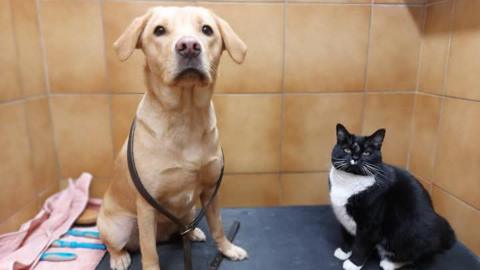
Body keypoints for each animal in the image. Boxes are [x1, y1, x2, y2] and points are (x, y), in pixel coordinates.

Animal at [97, 5, 248, 270]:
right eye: (159, 30)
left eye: (206, 29)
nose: (189, 46)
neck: (185, 115)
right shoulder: (147, 205)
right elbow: (149, 252)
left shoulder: (211, 191)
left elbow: (218, 226)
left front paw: (227, 249)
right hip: (118, 227)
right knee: (115, 244)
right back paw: (119, 258)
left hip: (189, 211)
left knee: (183, 230)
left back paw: (192, 233)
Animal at [328, 124, 456, 270]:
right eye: (347, 149)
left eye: (367, 153)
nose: (355, 157)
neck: (350, 180)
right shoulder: (342, 215)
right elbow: (346, 235)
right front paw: (344, 252)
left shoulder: (370, 224)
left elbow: (361, 245)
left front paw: (353, 263)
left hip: (409, 234)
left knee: (416, 255)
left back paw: (390, 263)